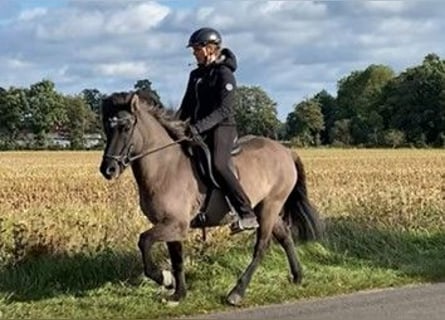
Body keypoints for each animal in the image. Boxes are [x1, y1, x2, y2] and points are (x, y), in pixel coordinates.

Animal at [99, 90, 320, 304]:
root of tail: (287, 151)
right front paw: (179, 294)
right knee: (285, 236)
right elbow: (177, 259)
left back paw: (237, 293)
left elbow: (144, 241)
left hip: (270, 206)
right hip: (265, 207)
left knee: (261, 247)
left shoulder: (176, 224)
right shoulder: (171, 224)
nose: (108, 169)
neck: (166, 167)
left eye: (125, 127)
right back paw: (297, 276)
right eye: (108, 129)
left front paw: (165, 278)